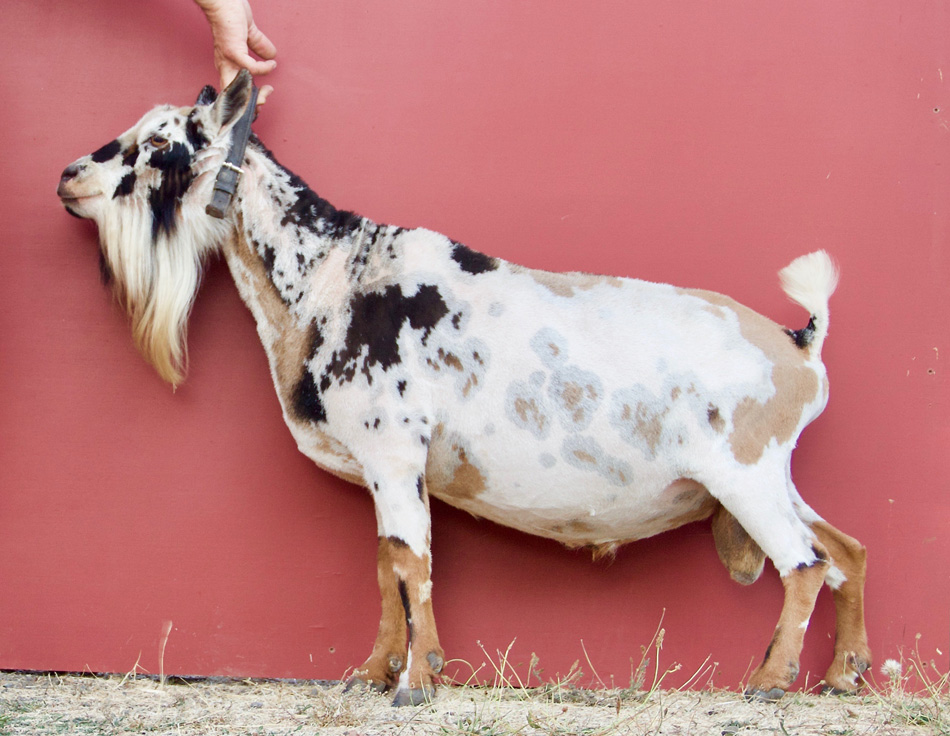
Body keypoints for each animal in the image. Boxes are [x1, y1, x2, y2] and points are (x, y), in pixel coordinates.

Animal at [54, 70, 872, 708]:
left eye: (160, 142)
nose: (68, 176)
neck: (330, 275)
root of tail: (799, 343)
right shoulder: (384, 466)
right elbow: (386, 565)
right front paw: (373, 672)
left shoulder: (393, 450)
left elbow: (411, 560)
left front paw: (416, 682)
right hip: (767, 473)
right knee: (846, 549)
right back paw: (845, 673)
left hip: (745, 471)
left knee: (804, 563)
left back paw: (769, 681)